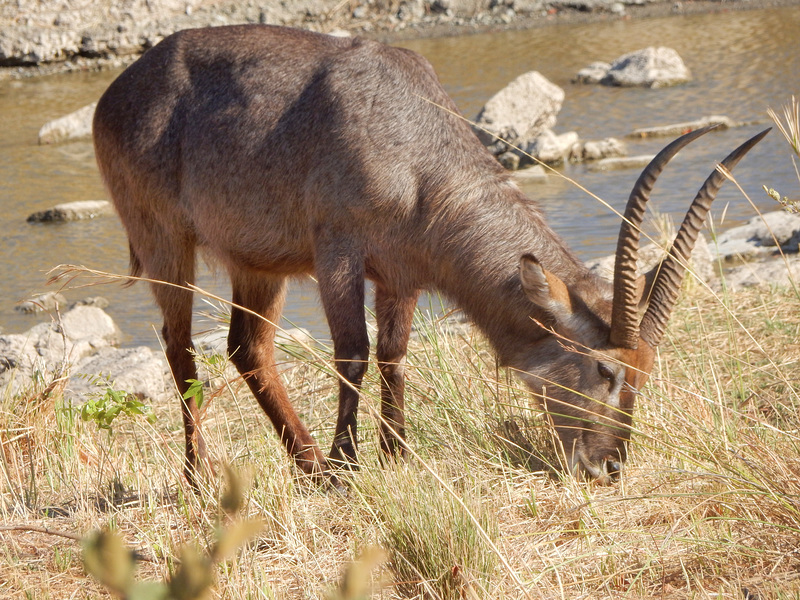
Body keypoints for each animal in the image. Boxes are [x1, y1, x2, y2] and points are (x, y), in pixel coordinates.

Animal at [94, 22, 768, 488]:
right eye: (606, 370)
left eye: (646, 374)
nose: (609, 469)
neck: (412, 143)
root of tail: (116, 91)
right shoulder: (337, 252)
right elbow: (354, 353)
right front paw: (350, 465)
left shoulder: (402, 274)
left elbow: (394, 354)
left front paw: (394, 454)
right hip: (166, 242)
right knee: (180, 348)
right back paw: (205, 476)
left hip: (258, 264)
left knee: (247, 347)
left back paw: (307, 465)